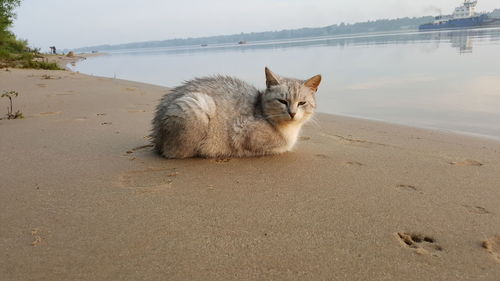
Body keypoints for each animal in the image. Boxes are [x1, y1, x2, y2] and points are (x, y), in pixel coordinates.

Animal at [152, 66, 322, 158]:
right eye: (282, 101)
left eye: (302, 103)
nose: (292, 113)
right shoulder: (240, 129)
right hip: (198, 104)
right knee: (177, 152)